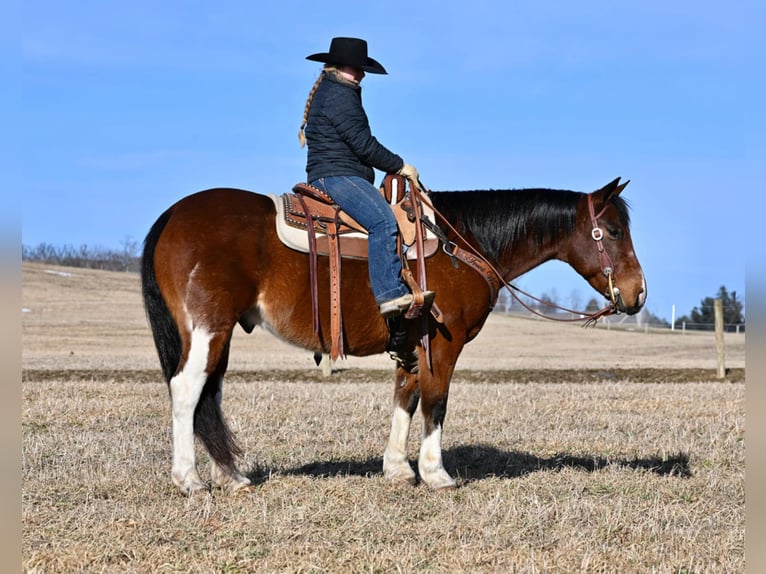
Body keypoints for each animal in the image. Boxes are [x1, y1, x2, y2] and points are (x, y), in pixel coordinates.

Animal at [140, 177, 648, 496]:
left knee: (209, 396)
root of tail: (172, 215)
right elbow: (435, 402)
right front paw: (436, 474)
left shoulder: (410, 342)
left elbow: (405, 396)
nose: (638, 293)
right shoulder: (443, 342)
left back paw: (232, 476)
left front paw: (397, 469)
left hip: (219, 335)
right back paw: (189, 479)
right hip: (207, 329)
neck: (461, 243)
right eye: (613, 230)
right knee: (187, 390)